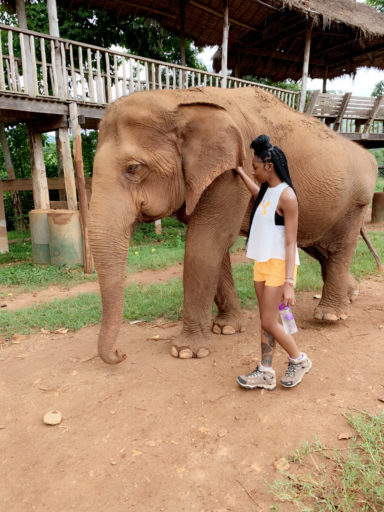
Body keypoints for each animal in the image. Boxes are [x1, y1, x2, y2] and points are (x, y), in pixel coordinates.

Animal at [88, 85, 378, 364]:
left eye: (133, 168)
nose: (120, 354)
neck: (177, 98)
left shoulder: (229, 177)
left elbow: (205, 244)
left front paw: (186, 351)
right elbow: (216, 248)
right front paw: (225, 328)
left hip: (357, 203)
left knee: (339, 248)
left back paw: (330, 316)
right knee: (321, 249)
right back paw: (351, 295)